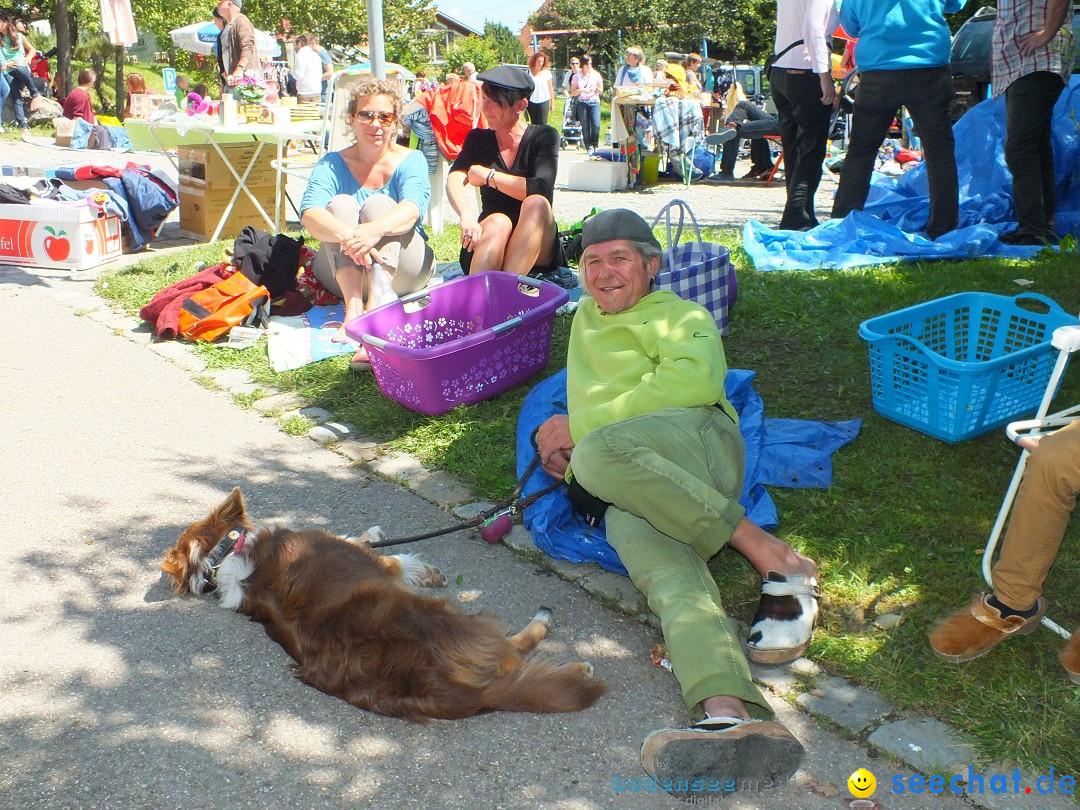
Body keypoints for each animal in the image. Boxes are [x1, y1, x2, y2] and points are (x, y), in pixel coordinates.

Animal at [159, 488, 604, 721]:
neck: (223, 560)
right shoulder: (375, 563)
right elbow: (392, 557)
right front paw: (418, 565)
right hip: (454, 618)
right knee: (513, 653)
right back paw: (559, 643)